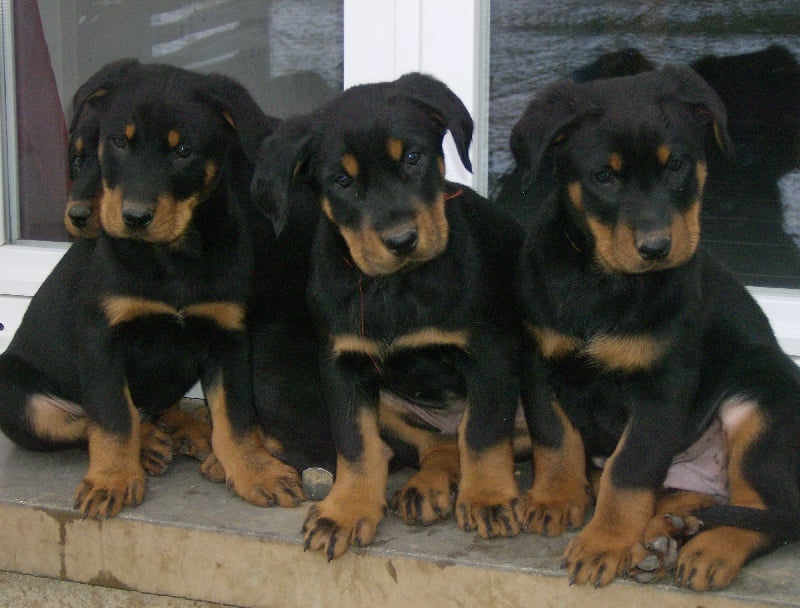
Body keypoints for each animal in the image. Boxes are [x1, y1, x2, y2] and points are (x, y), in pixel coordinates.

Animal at [0, 60, 304, 516]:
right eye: (117, 142)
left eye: (183, 152)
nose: (135, 216)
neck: (172, 258)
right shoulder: (101, 337)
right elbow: (111, 417)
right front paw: (111, 479)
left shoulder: (227, 335)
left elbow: (236, 415)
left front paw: (256, 470)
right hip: (19, 398)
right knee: (89, 419)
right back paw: (148, 446)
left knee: (157, 407)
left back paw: (191, 431)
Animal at [256, 72, 524, 560]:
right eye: (342, 181)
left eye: (414, 157)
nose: (401, 240)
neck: (395, 287)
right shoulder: (341, 366)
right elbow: (355, 445)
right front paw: (346, 510)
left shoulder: (491, 351)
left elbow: (483, 432)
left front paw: (489, 499)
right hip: (391, 404)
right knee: (437, 443)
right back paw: (426, 487)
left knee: (474, 434)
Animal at [504, 65, 800, 588]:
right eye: (604, 176)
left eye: (677, 165)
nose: (658, 247)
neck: (602, 281)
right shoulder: (538, 359)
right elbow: (554, 438)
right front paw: (554, 498)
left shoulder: (663, 387)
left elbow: (629, 470)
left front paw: (603, 543)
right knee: (703, 499)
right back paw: (669, 531)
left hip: (759, 406)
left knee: (766, 511)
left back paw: (709, 549)